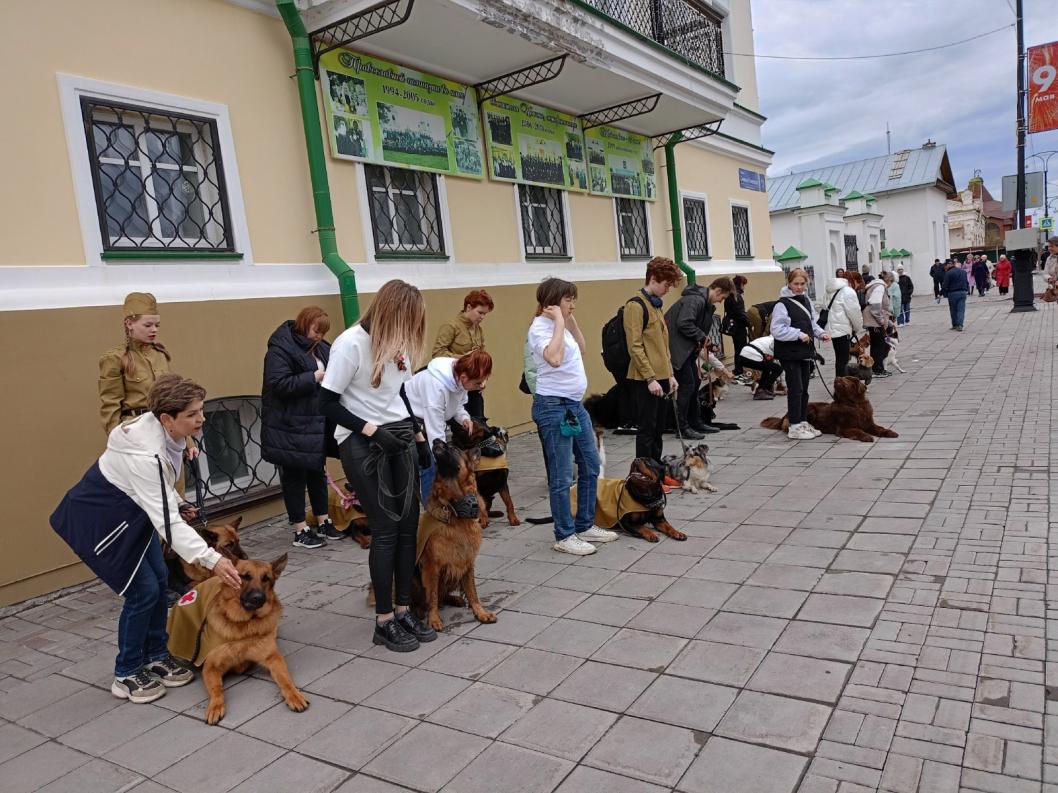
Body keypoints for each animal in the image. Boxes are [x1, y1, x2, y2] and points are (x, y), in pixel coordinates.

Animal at [165, 554, 306, 727]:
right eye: (244, 576)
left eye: (266, 578)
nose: (258, 598)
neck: (245, 625)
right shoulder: (210, 667)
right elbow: (217, 689)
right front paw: (215, 706)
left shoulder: (274, 658)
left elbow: (285, 679)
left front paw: (294, 694)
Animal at [410, 435, 497, 634]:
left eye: (454, 448)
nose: (435, 440)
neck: (455, 510)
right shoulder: (432, 567)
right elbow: (432, 596)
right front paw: (433, 619)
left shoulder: (466, 563)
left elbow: (472, 592)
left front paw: (480, 612)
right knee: (418, 601)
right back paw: (418, 611)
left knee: (443, 595)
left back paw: (454, 599)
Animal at [761, 376, 901, 444]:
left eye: (848, 378)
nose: (837, 377)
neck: (854, 405)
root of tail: (784, 416)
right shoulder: (845, 428)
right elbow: (858, 430)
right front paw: (866, 437)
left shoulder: (868, 424)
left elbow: (880, 428)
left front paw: (890, 432)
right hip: (810, 408)